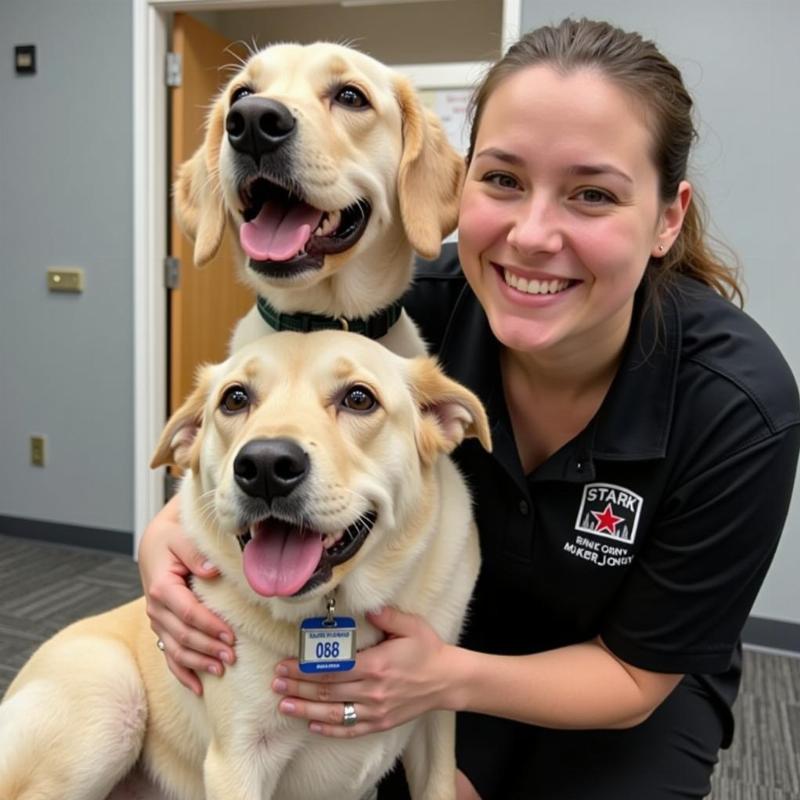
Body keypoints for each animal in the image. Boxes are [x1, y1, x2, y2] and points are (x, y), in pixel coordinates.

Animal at [0, 328, 490, 796]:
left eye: (358, 398)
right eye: (235, 399)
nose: (266, 466)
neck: (333, 610)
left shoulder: (435, 725)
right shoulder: (236, 761)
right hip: (110, 698)